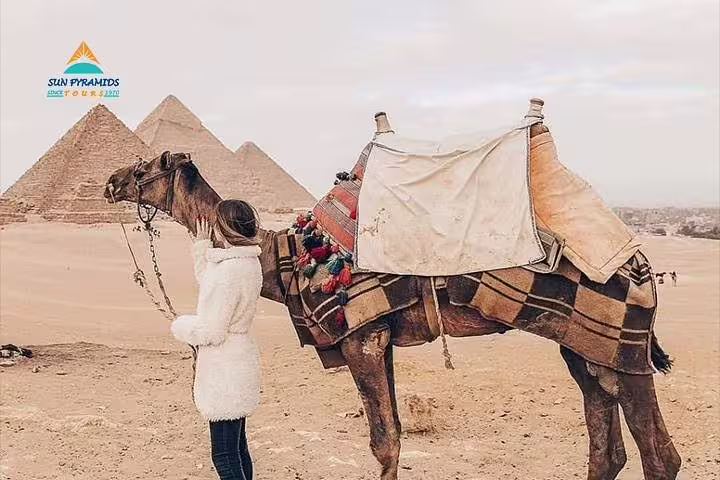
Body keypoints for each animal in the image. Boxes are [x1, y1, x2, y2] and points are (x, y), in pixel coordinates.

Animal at [104, 111, 681, 480]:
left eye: (145, 168)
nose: (109, 181)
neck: (288, 256)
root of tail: (639, 262)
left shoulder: (362, 336)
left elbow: (385, 444)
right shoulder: (379, 340)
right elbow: (394, 436)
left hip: (619, 343)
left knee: (659, 457)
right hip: (583, 345)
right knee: (608, 447)